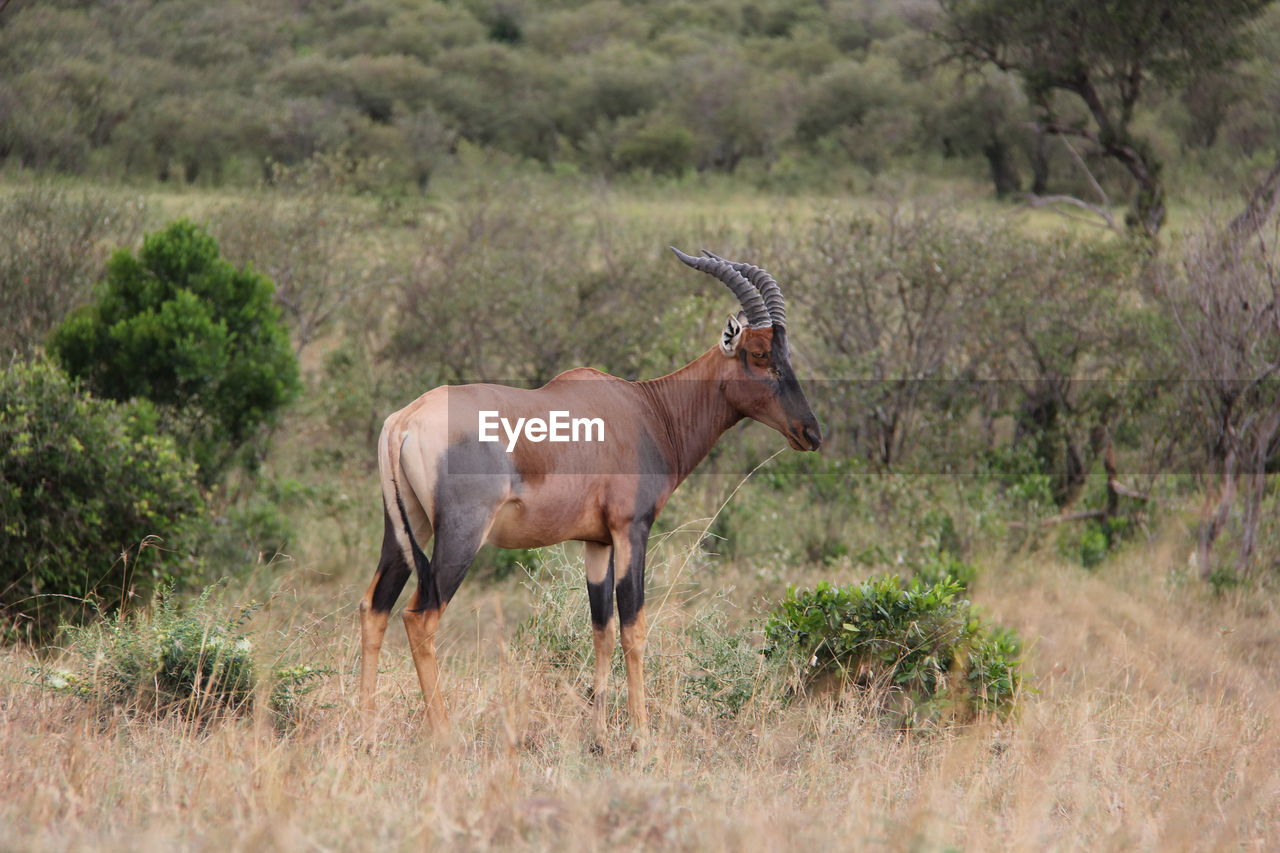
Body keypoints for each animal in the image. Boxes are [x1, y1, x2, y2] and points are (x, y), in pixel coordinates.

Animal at [360, 245, 819, 737]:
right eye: (759, 353)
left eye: (787, 352)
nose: (811, 433)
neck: (646, 409)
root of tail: (405, 420)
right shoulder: (630, 529)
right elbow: (633, 626)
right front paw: (641, 734)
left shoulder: (596, 541)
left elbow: (602, 627)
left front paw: (598, 735)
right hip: (462, 534)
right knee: (420, 617)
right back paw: (445, 734)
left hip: (406, 527)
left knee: (375, 607)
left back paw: (364, 727)